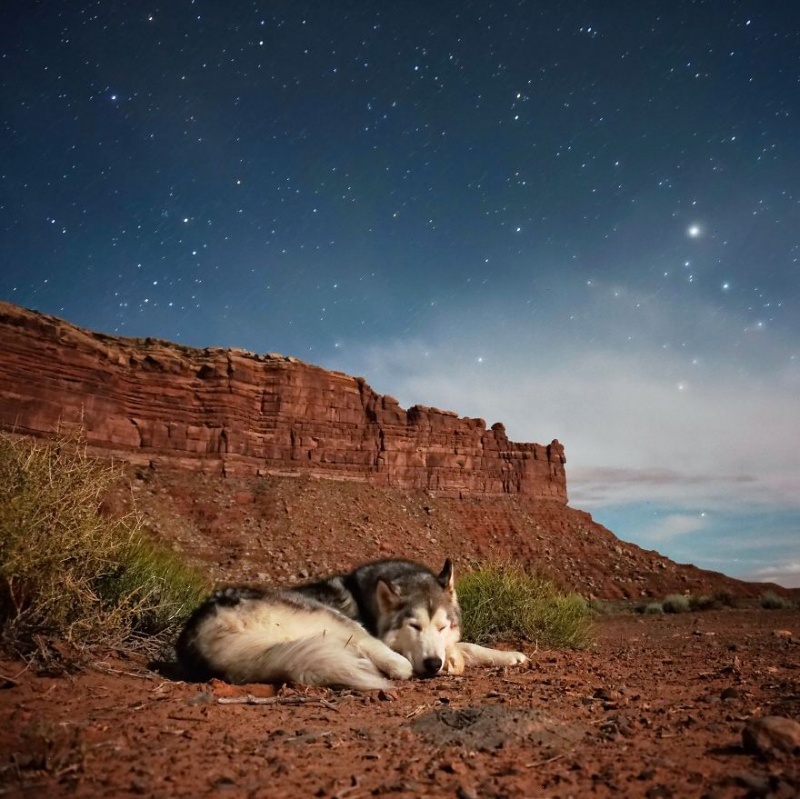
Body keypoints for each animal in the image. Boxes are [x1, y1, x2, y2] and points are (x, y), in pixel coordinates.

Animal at [178, 556, 528, 692]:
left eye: (442, 627)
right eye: (413, 626)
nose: (433, 664)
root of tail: (198, 630)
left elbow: (467, 645)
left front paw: (509, 656)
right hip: (333, 618)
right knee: (395, 664)